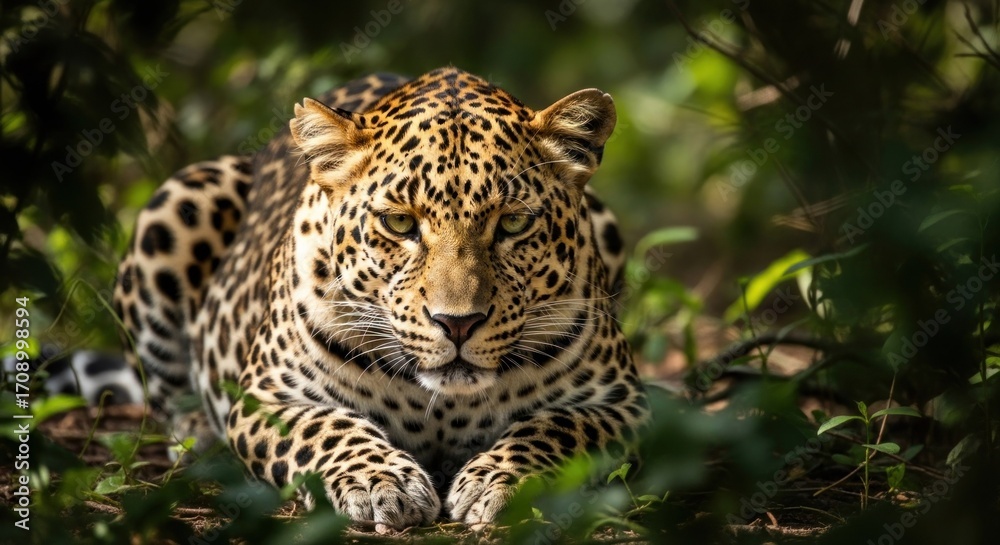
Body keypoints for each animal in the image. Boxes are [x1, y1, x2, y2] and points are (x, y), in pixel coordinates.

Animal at [111, 67, 648, 528]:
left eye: (513, 222)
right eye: (400, 223)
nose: (457, 323)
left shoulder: (621, 401)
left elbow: (556, 427)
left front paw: (497, 479)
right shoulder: (266, 397)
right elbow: (326, 428)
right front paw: (381, 482)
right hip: (174, 204)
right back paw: (199, 438)